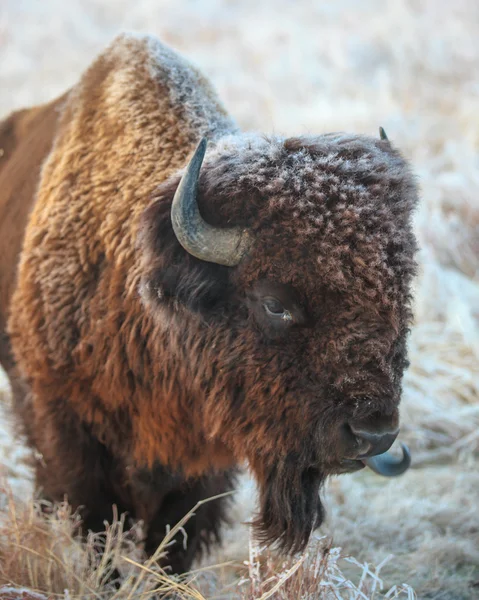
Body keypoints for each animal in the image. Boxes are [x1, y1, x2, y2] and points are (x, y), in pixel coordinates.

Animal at [0, 35, 418, 576]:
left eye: (399, 294)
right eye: (274, 303)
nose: (373, 433)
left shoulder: (205, 469)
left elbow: (173, 543)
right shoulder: (71, 434)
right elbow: (99, 532)